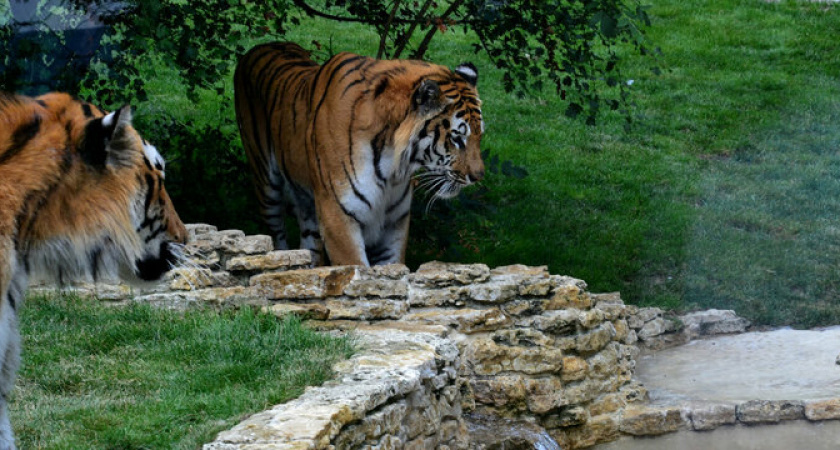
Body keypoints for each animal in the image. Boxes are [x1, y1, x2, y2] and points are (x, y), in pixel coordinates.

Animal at [235, 41, 486, 268]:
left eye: (479, 135)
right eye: (457, 139)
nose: (478, 177)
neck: (393, 167)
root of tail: (258, 47)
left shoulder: (394, 222)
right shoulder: (337, 216)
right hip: (267, 187)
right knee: (277, 238)